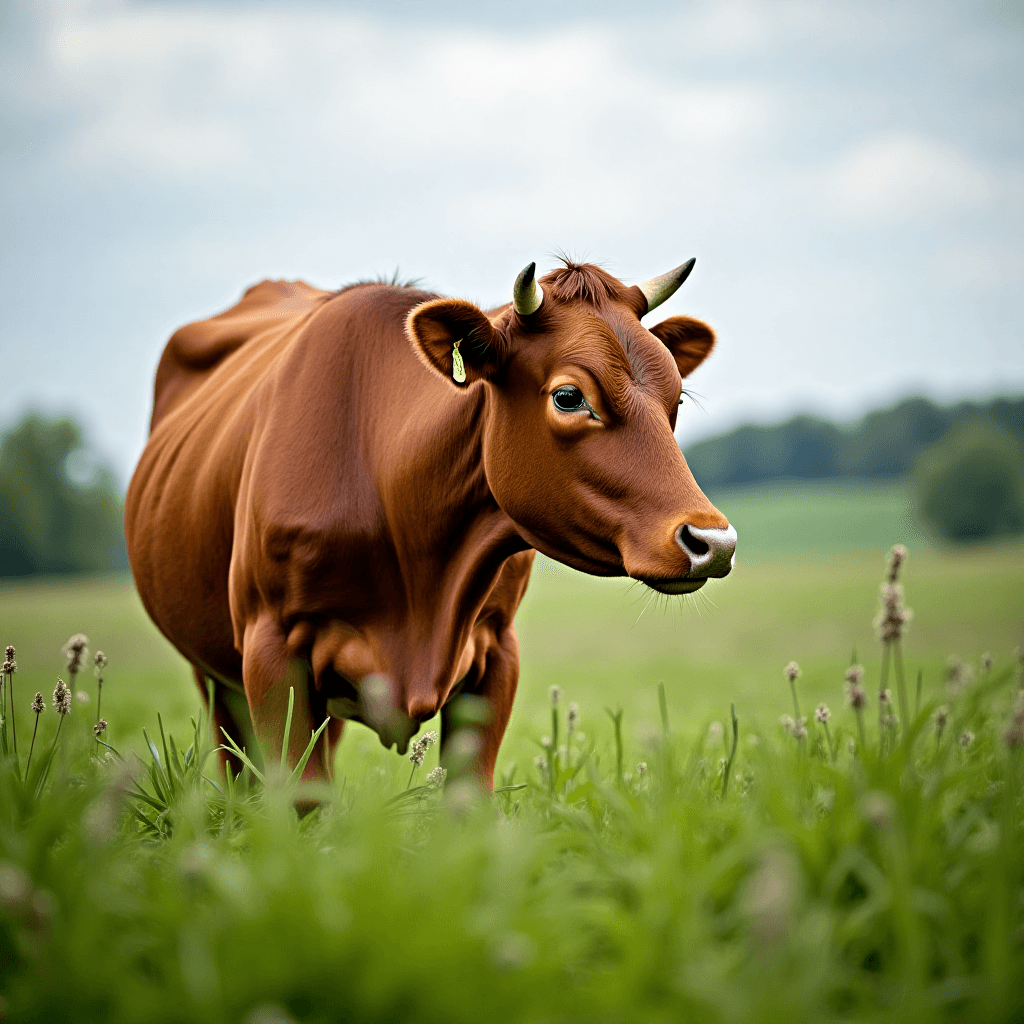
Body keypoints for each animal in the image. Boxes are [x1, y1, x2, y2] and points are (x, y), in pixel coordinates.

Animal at [125, 260, 737, 786]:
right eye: (569, 396)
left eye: (676, 397)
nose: (714, 541)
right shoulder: (269, 648)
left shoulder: (496, 651)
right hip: (217, 676)